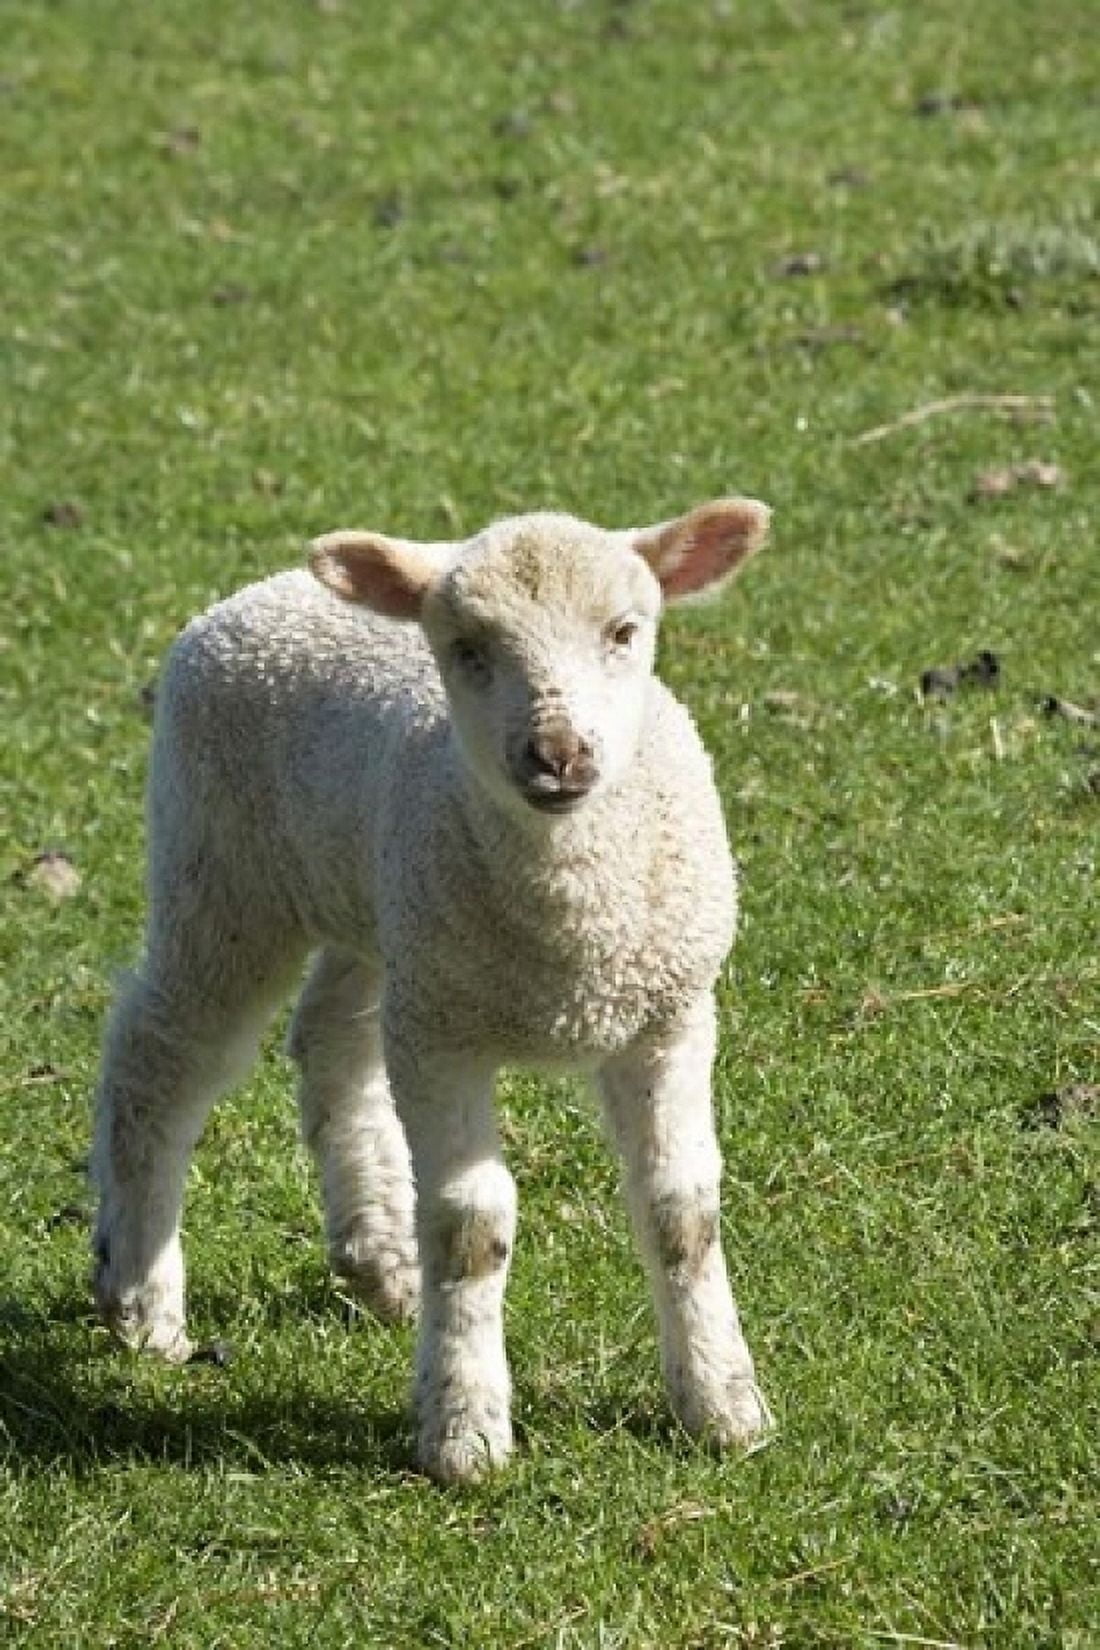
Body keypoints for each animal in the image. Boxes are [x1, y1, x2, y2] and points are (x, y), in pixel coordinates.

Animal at [92, 497, 773, 1484]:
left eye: (625, 631)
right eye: (466, 648)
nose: (557, 753)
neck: (571, 934)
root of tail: (263, 591)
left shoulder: (668, 1014)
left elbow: (683, 1213)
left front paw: (722, 1404)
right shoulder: (444, 1036)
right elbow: (470, 1228)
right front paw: (466, 1430)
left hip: (383, 916)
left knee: (332, 1043)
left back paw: (381, 1259)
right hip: (221, 881)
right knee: (160, 1058)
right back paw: (142, 1299)